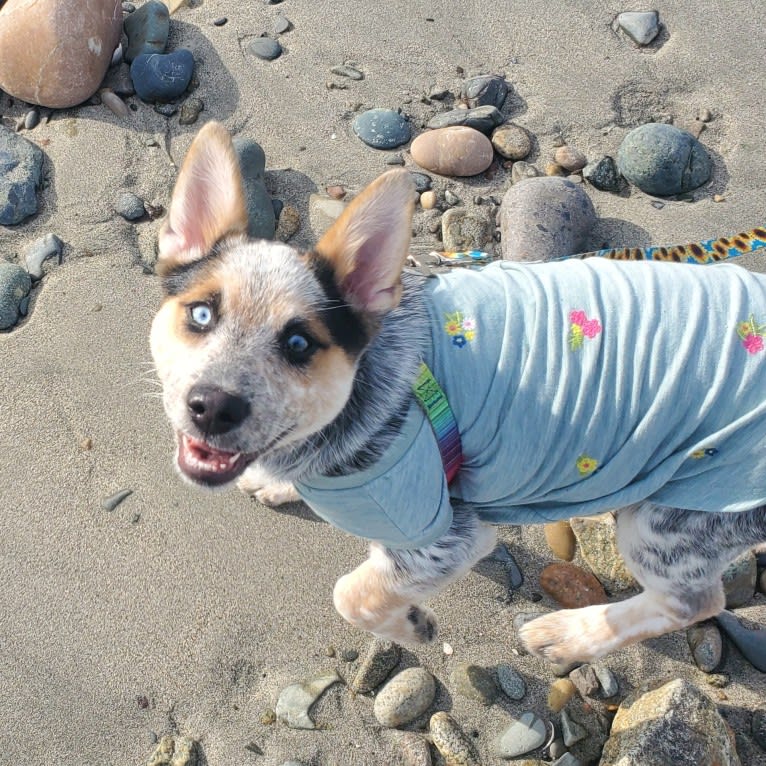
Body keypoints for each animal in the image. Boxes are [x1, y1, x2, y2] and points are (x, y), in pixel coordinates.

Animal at [152, 123, 766, 668]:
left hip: (677, 514)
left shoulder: (448, 534)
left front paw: (412, 625)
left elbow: (352, 594)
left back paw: (571, 635)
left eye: (299, 344)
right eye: (202, 314)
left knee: (694, 599)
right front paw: (275, 483)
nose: (213, 406)